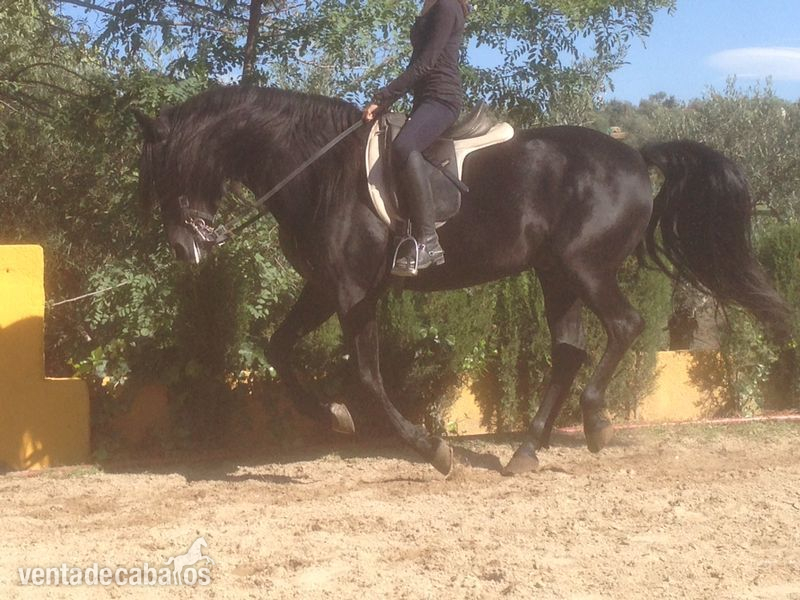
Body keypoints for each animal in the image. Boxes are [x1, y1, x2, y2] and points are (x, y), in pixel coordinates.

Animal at [134, 85, 790, 476]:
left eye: (164, 170)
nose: (183, 248)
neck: (319, 171)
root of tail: (634, 157)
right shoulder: (324, 288)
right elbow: (279, 349)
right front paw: (333, 417)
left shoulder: (353, 291)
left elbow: (368, 375)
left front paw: (433, 450)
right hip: (555, 273)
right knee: (569, 349)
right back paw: (527, 450)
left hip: (584, 266)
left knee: (623, 327)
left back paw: (596, 424)